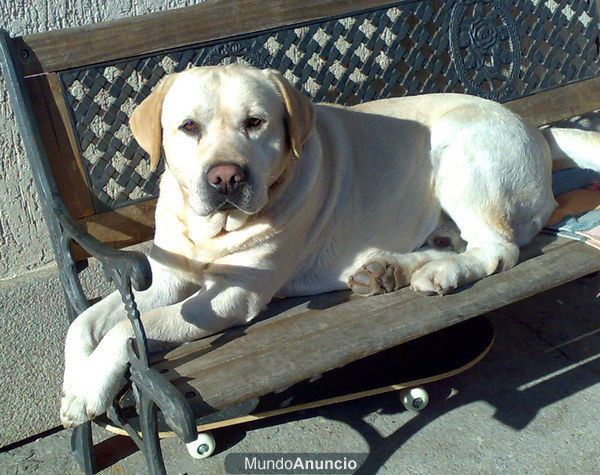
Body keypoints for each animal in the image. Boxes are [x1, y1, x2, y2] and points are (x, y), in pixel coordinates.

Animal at [59, 64, 600, 428]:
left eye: (256, 122)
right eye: (188, 127)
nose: (226, 177)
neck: (211, 230)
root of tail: (536, 128)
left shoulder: (234, 296)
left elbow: (132, 329)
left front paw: (90, 387)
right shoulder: (169, 277)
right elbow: (86, 321)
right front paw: (74, 385)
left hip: (458, 145)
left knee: (497, 248)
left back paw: (436, 273)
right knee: (452, 241)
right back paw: (388, 270)